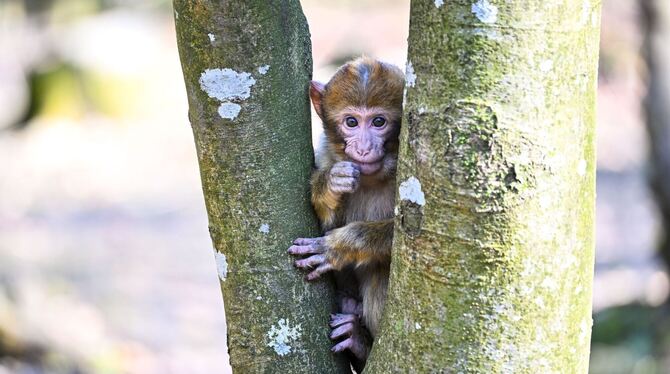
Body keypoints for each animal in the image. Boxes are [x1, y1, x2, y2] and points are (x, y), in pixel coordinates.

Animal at [288, 57, 404, 370]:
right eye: (351, 122)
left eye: (379, 122)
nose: (363, 148)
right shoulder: (326, 155)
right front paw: (330, 184)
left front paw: (338, 247)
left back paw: (360, 343)